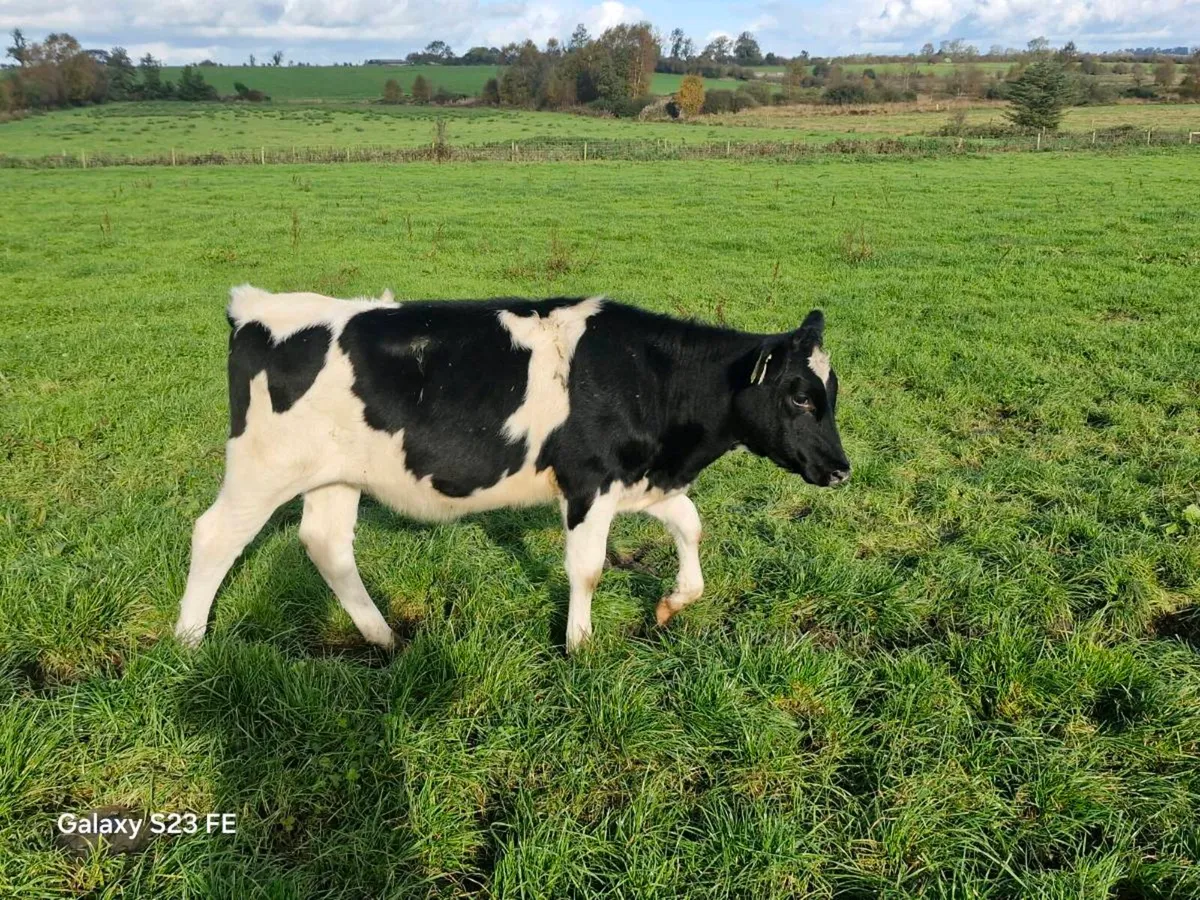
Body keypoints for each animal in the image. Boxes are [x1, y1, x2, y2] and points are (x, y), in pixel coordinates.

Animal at [175, 286, 850, 653]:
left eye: (833, 390)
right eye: (798, 396)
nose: (841, 469)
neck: (645, 377)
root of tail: (257, 309)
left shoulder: (641, 479)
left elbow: (690, 525)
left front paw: (671, 604)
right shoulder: (588, 482)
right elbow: (588, 569)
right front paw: (579, 645)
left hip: (335, 475)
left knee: (326, 545)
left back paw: (383, 637)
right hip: (263, 467)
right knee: (214, 536)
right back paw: (188, 640)